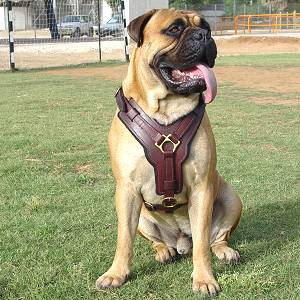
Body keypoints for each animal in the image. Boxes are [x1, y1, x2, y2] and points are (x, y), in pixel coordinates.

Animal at [97, 8, 243, 296]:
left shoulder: (202, 187)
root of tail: (180, 241)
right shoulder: (126, 190)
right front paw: (116, 274)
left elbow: (202, 245)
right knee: (155, 240)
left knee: (214, 239)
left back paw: (224, 251)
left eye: (206, 27)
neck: (166, 109)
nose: (203, 36)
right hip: (142, 217)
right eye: (174, 29)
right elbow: (124, 239)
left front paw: (204, 278)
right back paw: (164, 250)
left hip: (231, 197)